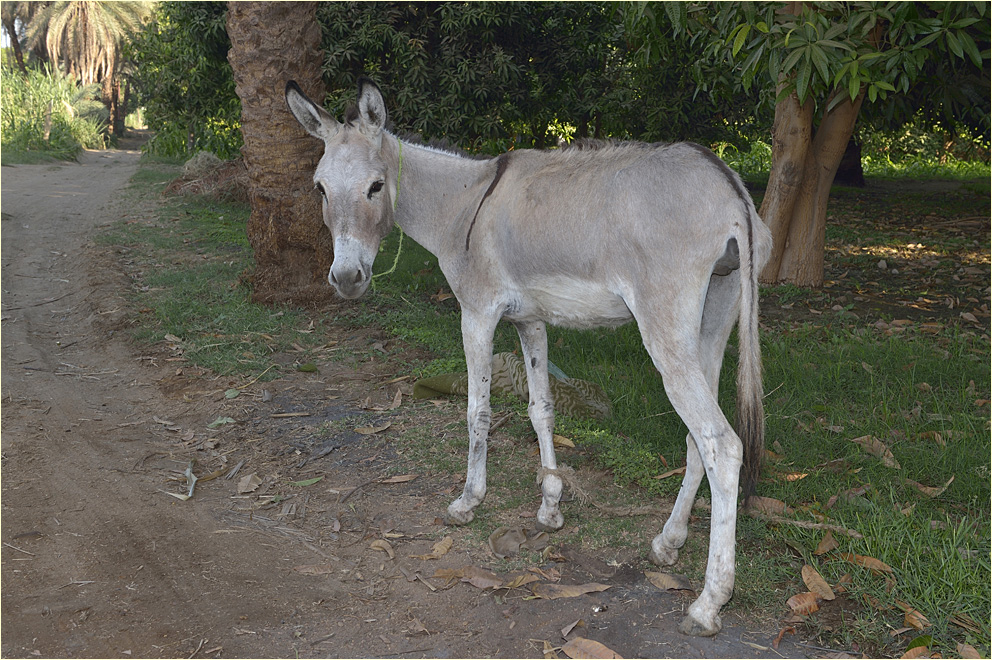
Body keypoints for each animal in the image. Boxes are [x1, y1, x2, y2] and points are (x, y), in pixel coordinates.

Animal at [285, 77, 772, 637]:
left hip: (666, 330)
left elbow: (477, 411)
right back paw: (668, 544)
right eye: (320, 189)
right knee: (699, 439)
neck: (464, 204)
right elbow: (541, 409)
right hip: (714, 320)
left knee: (722, 444)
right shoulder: (530, 320)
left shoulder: (476, 314)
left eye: (375, 187)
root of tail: (729, 185)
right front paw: (550, 508)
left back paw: (709, 603)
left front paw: (468, 501)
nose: (346, 279)